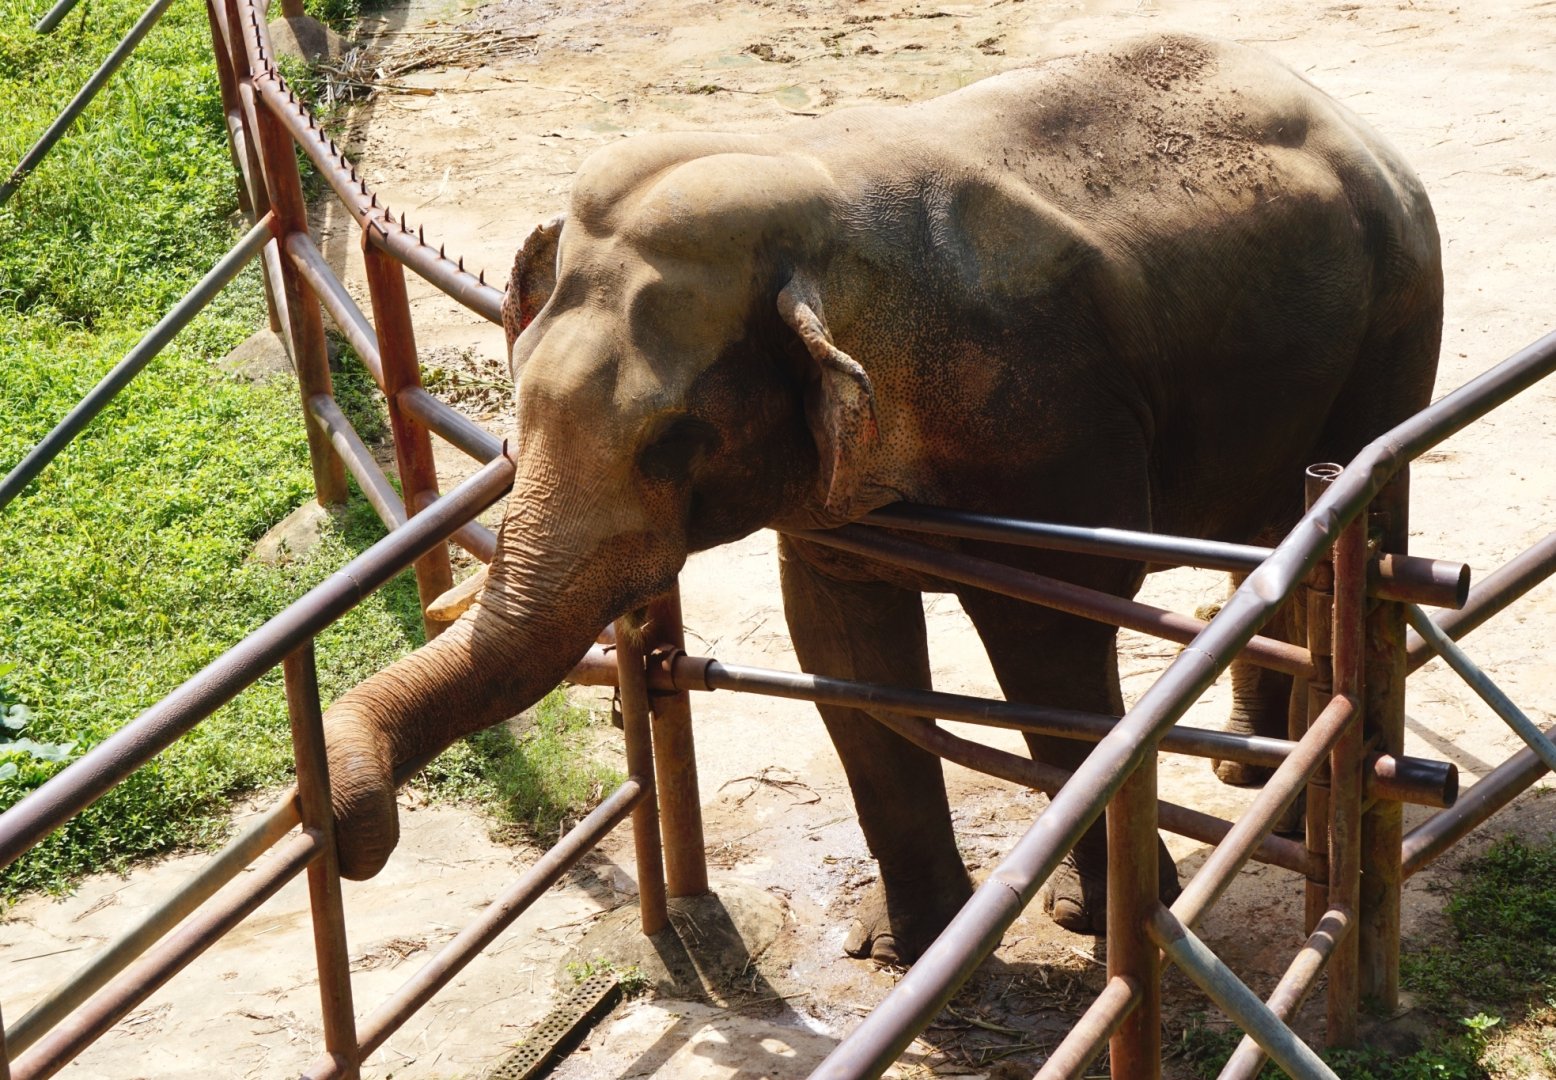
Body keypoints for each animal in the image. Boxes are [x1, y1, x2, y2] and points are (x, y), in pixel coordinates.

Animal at [321, 32, 1442, 964]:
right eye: (518, 393)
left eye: (669, 443)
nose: (350, 834)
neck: (809, 200)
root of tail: (1350, 119)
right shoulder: (837, 504)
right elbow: (844, 654)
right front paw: (903, 948)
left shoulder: (1047, 429)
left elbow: (1050, 644)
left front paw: (1093, 920)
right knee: (1276, 529)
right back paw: (1252, 778)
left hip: (1394, 322)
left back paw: (1284, 813)